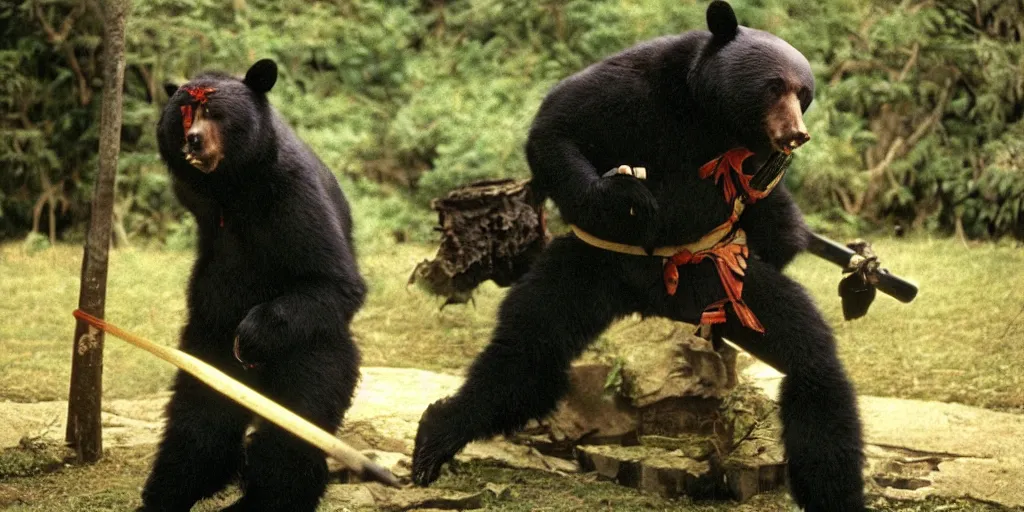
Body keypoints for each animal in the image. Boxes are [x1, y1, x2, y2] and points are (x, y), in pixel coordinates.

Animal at [140, 58, 368, 509]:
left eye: (214, 112)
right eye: (185, 113)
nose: (193, 141)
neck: (234, 185)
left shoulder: (291, 193)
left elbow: (331, 277)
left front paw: (252, 333)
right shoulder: (199, 203)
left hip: (313, 346)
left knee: (296, 422)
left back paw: (271, 496)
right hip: (208, 350)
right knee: (199, 422)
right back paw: (169, 490)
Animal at [411, 2, 868, 509]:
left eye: (803, 93)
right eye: (774, 86)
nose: (796, 134)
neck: (710, 113)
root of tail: (653, 299)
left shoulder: (753, 172)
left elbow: (773, 221)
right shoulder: (637, 88)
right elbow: (558, 126)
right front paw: (627, 194)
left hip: (722, 287)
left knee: (813, 370)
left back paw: (835, 492)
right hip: (586, 268)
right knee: (525, 353)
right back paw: (434, 440)